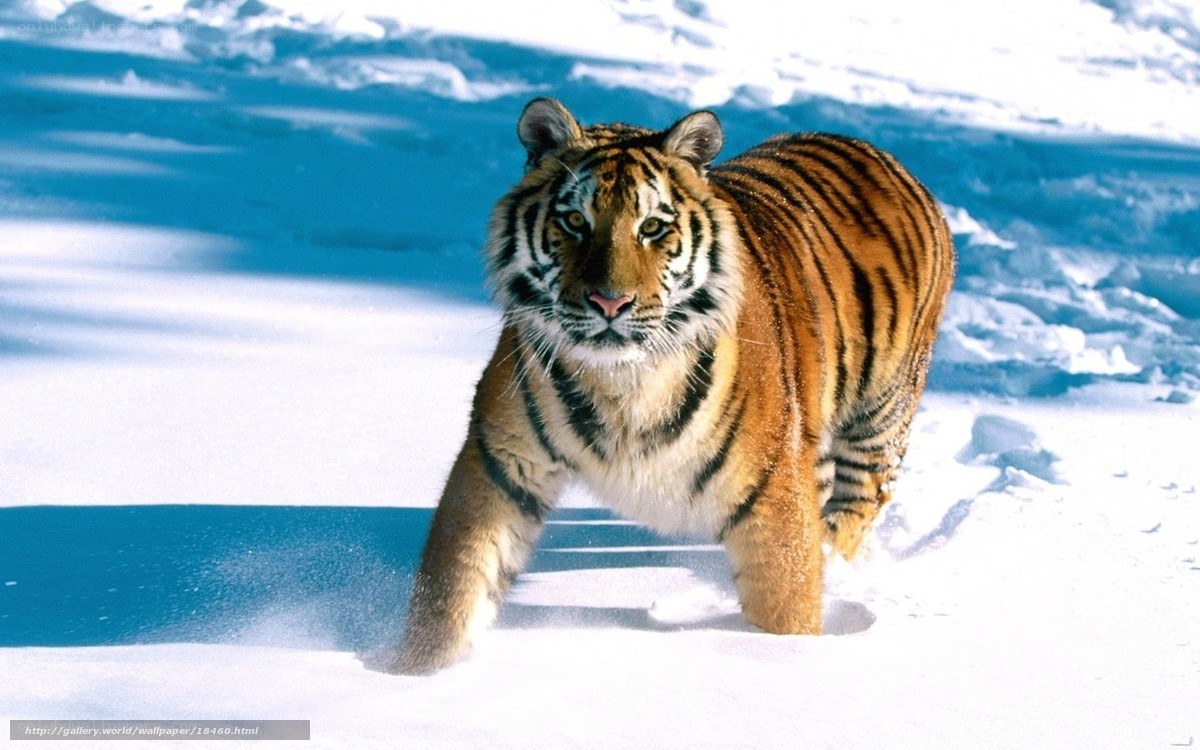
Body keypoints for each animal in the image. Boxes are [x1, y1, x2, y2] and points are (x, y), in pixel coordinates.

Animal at [386, 97, 954, 675]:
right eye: (575, 221)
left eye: (653, 227)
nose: (609, 302)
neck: (621, 381)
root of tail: (877, 152)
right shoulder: (501, 460)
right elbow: (455, 586)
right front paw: (411, 672)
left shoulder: (772, 493)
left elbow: (785, 604)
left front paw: (785, 655)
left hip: (879, 416)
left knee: (858, 503)